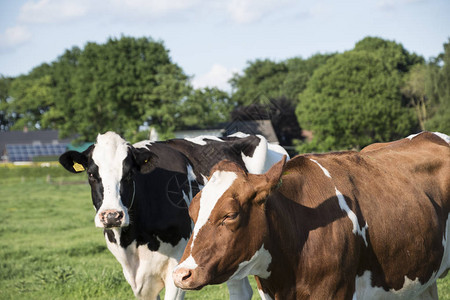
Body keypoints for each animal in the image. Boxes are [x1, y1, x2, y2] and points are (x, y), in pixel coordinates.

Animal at [59, 131, 288, 300]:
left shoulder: (178, 265)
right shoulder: (136, 277)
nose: (111, 215)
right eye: (91, 174)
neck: (134, 240)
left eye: (129, 174)